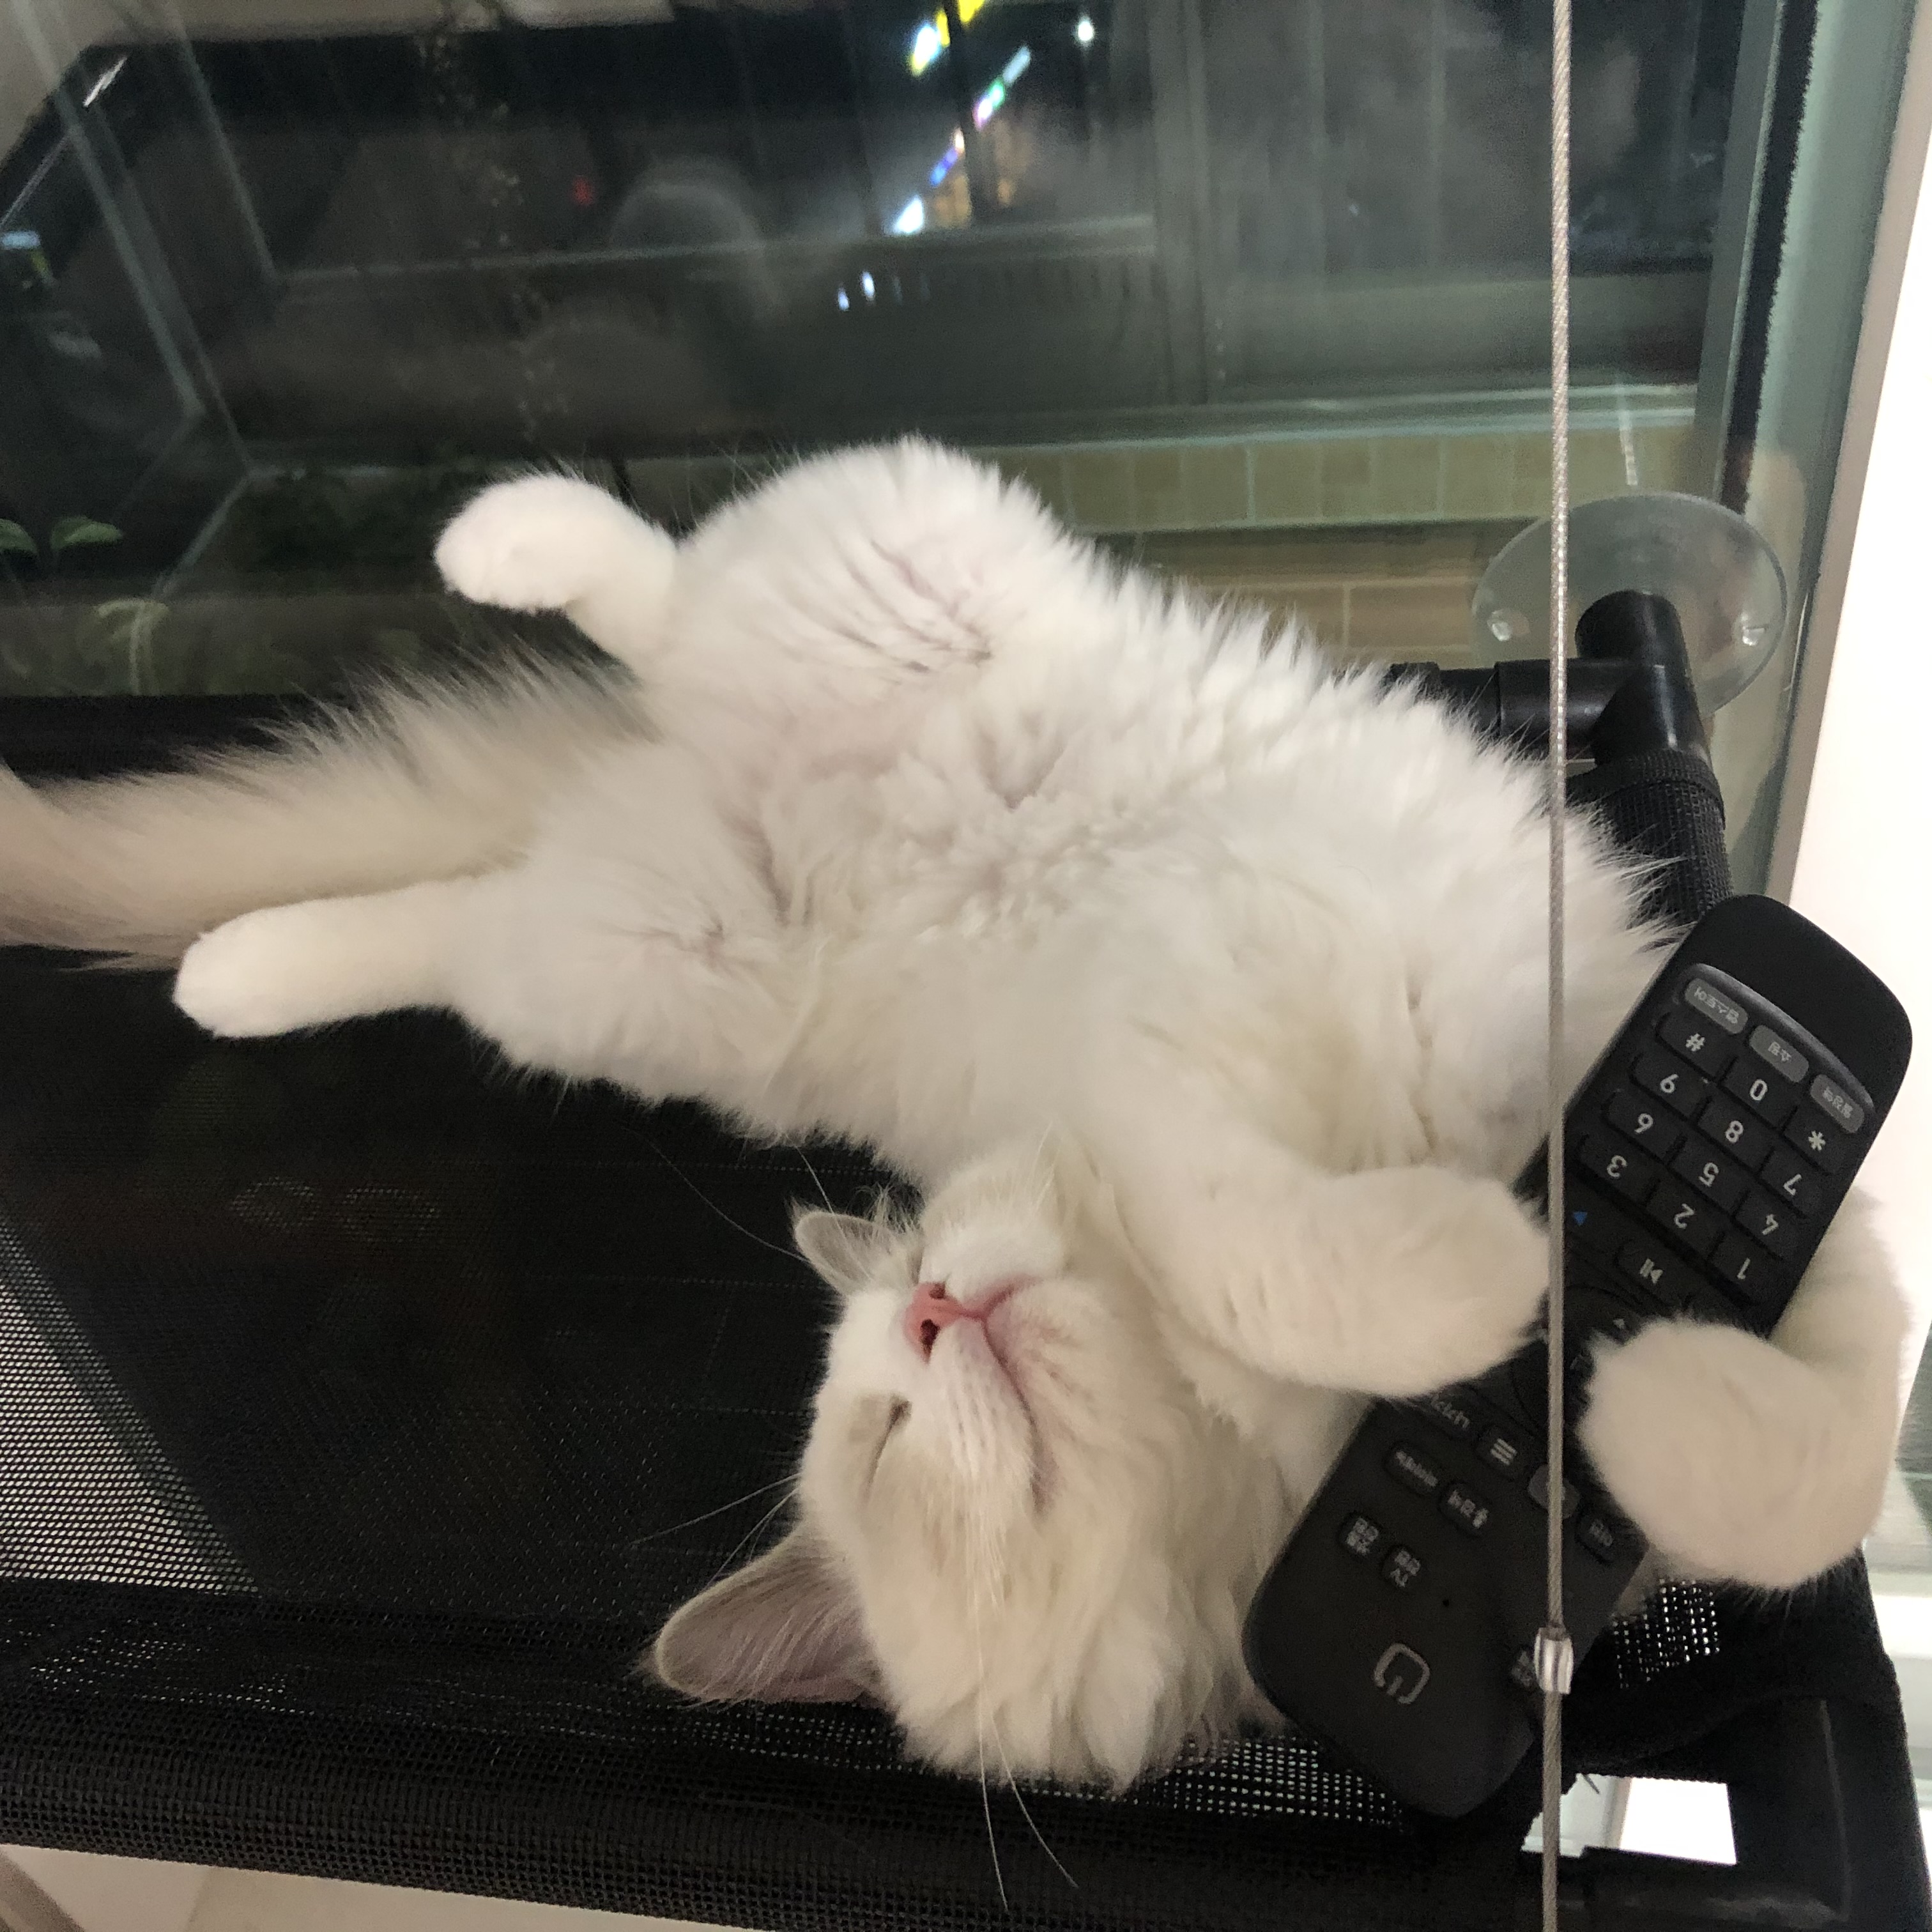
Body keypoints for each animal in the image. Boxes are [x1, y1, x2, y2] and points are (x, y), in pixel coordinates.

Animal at [0, 442, 1905, 1788]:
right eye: (888, 1434)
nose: (931, 1303)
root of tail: (679, 779)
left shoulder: (1782, 1187)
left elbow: (1820, 1456)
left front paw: (1646, 1387)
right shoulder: (1169, 1083)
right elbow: (1283, 1257)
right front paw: (1501, 1283)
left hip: (831, 694)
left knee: (632, 664)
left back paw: (460, 607)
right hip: (676, 915)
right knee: (534, 801)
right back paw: (279, 905)